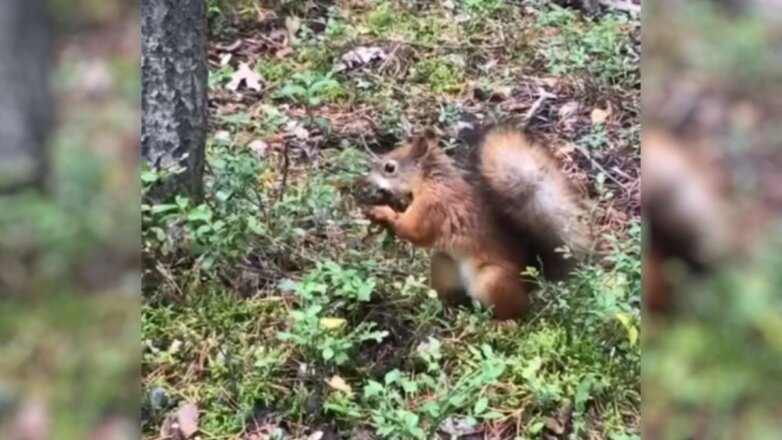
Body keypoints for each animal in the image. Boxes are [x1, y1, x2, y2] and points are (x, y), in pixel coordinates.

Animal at [362, 125, 592, 320]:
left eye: (389, 167)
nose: (366, 179)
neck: (432, 180)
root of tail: (530, 282)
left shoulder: (433, 207)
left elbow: (415, 231)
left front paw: (381, 212)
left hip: (492, 281)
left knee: (514, 314)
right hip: (444, 264)